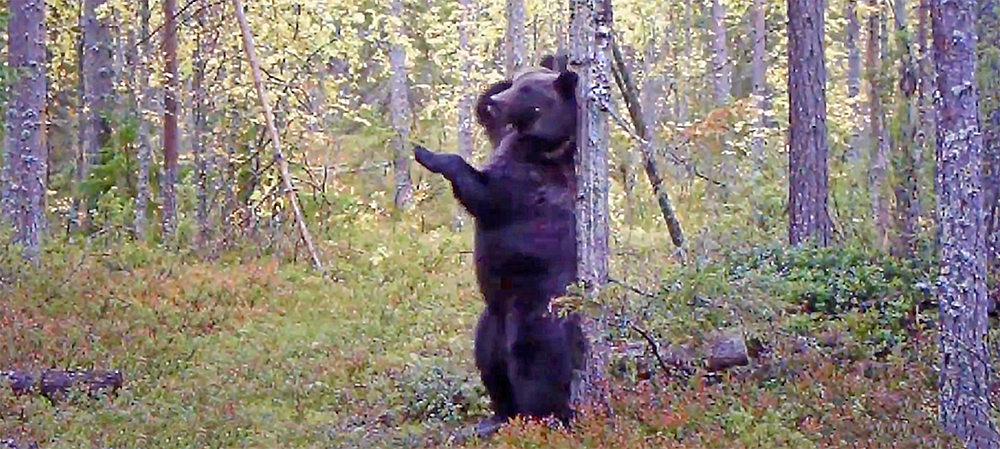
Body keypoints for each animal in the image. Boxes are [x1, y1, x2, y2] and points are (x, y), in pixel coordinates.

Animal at [414, 61, 584, 432]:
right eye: (517, 84)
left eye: (528, 92)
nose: (497, 103)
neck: (539, 146)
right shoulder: (505, 143)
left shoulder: (524, 188)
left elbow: (482, 193)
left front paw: (426, 153)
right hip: (490, 319)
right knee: (490, 364)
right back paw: (496, 416)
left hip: (532, 310)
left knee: (535, 367)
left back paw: (540, 418)